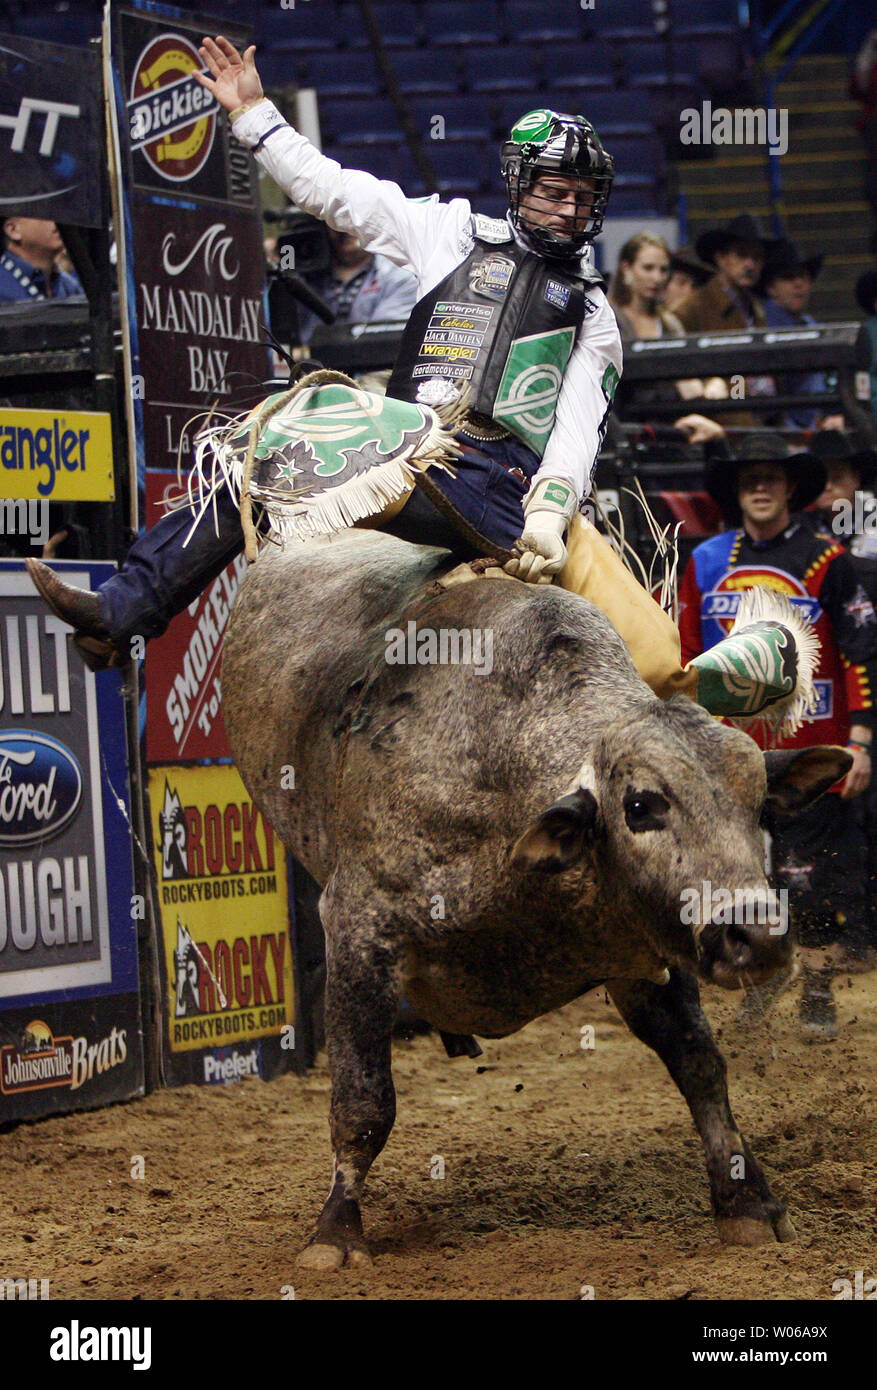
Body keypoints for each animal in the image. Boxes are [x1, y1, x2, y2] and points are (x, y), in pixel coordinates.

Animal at [219, 530, 850, 1273]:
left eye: (759, 805)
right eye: (640, 805)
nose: (756, 936)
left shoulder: (638, 950)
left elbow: (698, 1064)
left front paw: (746, 1201)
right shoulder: (359, 928)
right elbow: (362, 1101)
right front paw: (334, 1235)